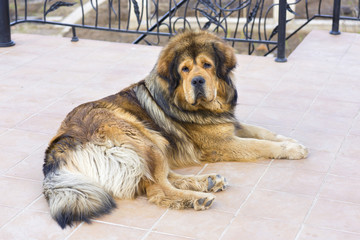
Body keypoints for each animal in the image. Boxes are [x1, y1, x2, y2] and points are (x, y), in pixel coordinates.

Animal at [41, 30, 306, 229]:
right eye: (185, 69)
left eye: (207, 65)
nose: (198, 81)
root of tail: (57, 151)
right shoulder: (221, 144)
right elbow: (260, 144)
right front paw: (290, 149)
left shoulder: (227, 125)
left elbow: (263, 132)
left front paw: (291, 141)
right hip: (143, 138)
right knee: (159, 188)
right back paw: (197, 198)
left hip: (151, 143)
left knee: (159, 179)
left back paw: (207, 181)